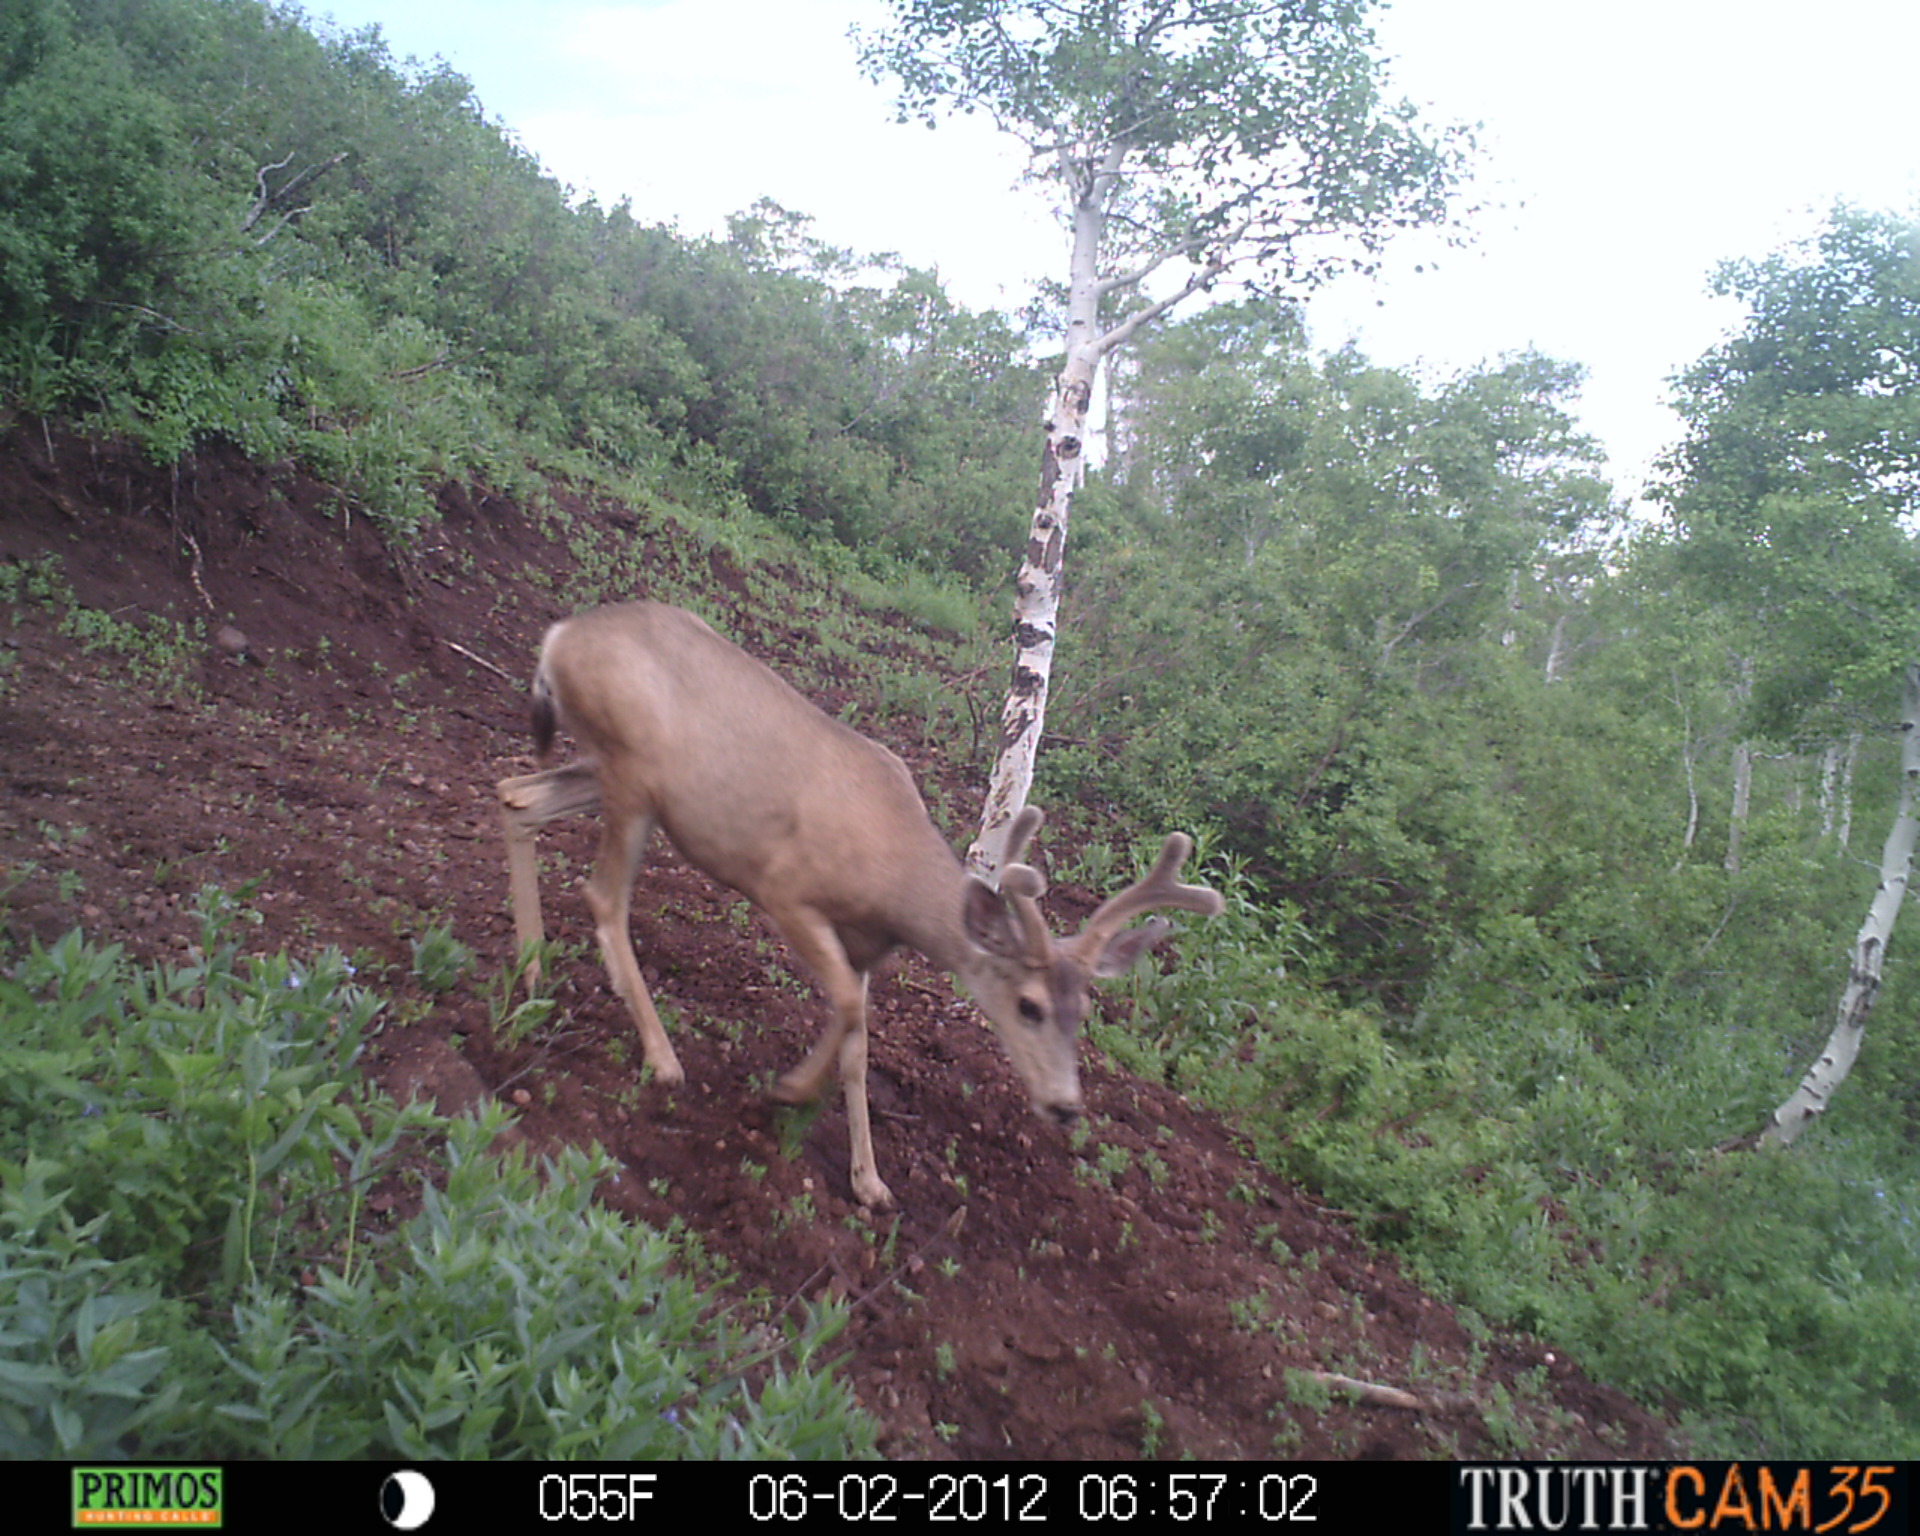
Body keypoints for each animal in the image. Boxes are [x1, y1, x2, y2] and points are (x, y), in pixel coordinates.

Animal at [495, 602, 1213, 1213]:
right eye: (1028, 1005)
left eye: (1083, 1011)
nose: (1066, 1107)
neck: (889, 883)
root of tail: (557, 638)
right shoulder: (786, 890)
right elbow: (844, 1006)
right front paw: (785, 1092)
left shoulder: (868, 947)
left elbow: (859, 1045)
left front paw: (870, 1183)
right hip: (630, 774)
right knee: (601, 894)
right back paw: (661, 1056)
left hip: (605, 769)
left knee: (514, 795)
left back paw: (529, 973)